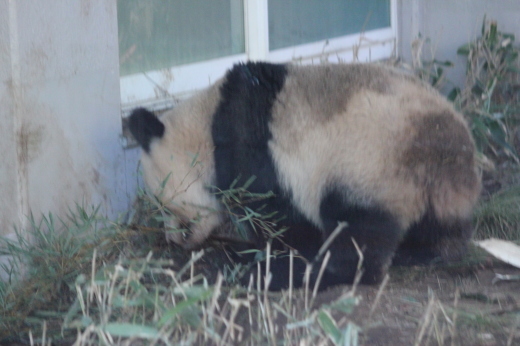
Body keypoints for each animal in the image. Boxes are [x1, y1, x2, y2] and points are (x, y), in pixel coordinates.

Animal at [128, 61, 482, 290]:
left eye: (164, 207)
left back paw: (304, 275)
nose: (176, 240)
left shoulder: (253, 150)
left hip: (372, 165)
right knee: (435, 228)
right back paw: (421, 252)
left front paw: (272, 259)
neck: (205, 128)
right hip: (431, 187)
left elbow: (279, 216)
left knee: (357, 229)